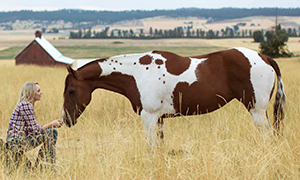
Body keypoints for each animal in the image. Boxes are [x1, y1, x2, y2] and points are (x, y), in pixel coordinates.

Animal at [61, 47, 286, 146]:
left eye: (71, 91)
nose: (66, 120)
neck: (137, 73)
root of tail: (264, 57)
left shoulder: (149, 117)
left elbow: (150, 147)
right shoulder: (159, 119)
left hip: (257, 110)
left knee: (268, 136)